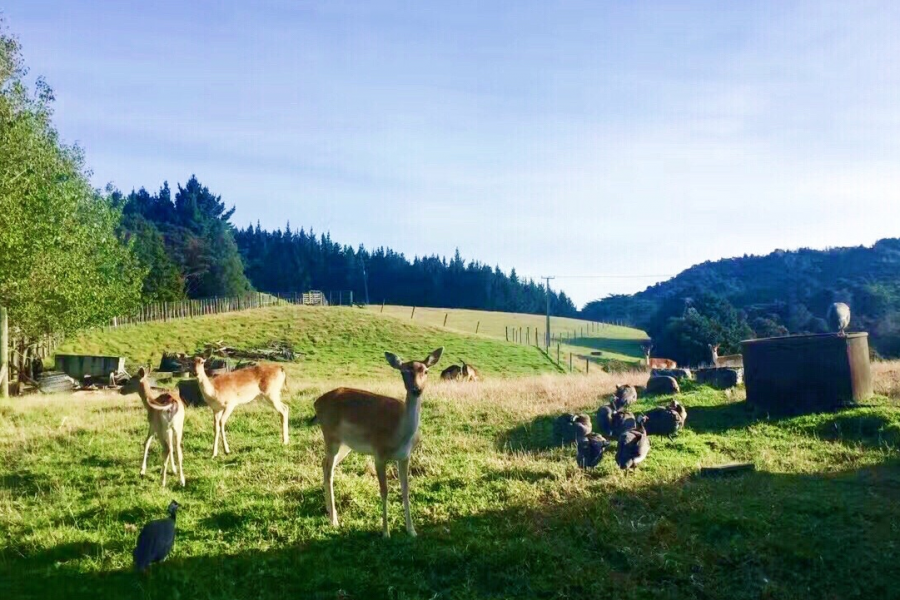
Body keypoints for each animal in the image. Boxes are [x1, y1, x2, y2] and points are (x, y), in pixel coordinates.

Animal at [312, 346, 444, 540]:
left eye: (425, 371)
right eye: (404, 371)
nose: (416, 389)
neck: (400, 434)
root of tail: (316, 403)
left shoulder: (404, 457)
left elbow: (405, 489)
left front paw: (412, 530)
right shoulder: (379, 454)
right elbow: (384, 490)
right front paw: (385, 532)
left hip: (346, 445)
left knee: (325, 464)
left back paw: (330, 512)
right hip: (330, 437)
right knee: (328, 468)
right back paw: (334, 521)